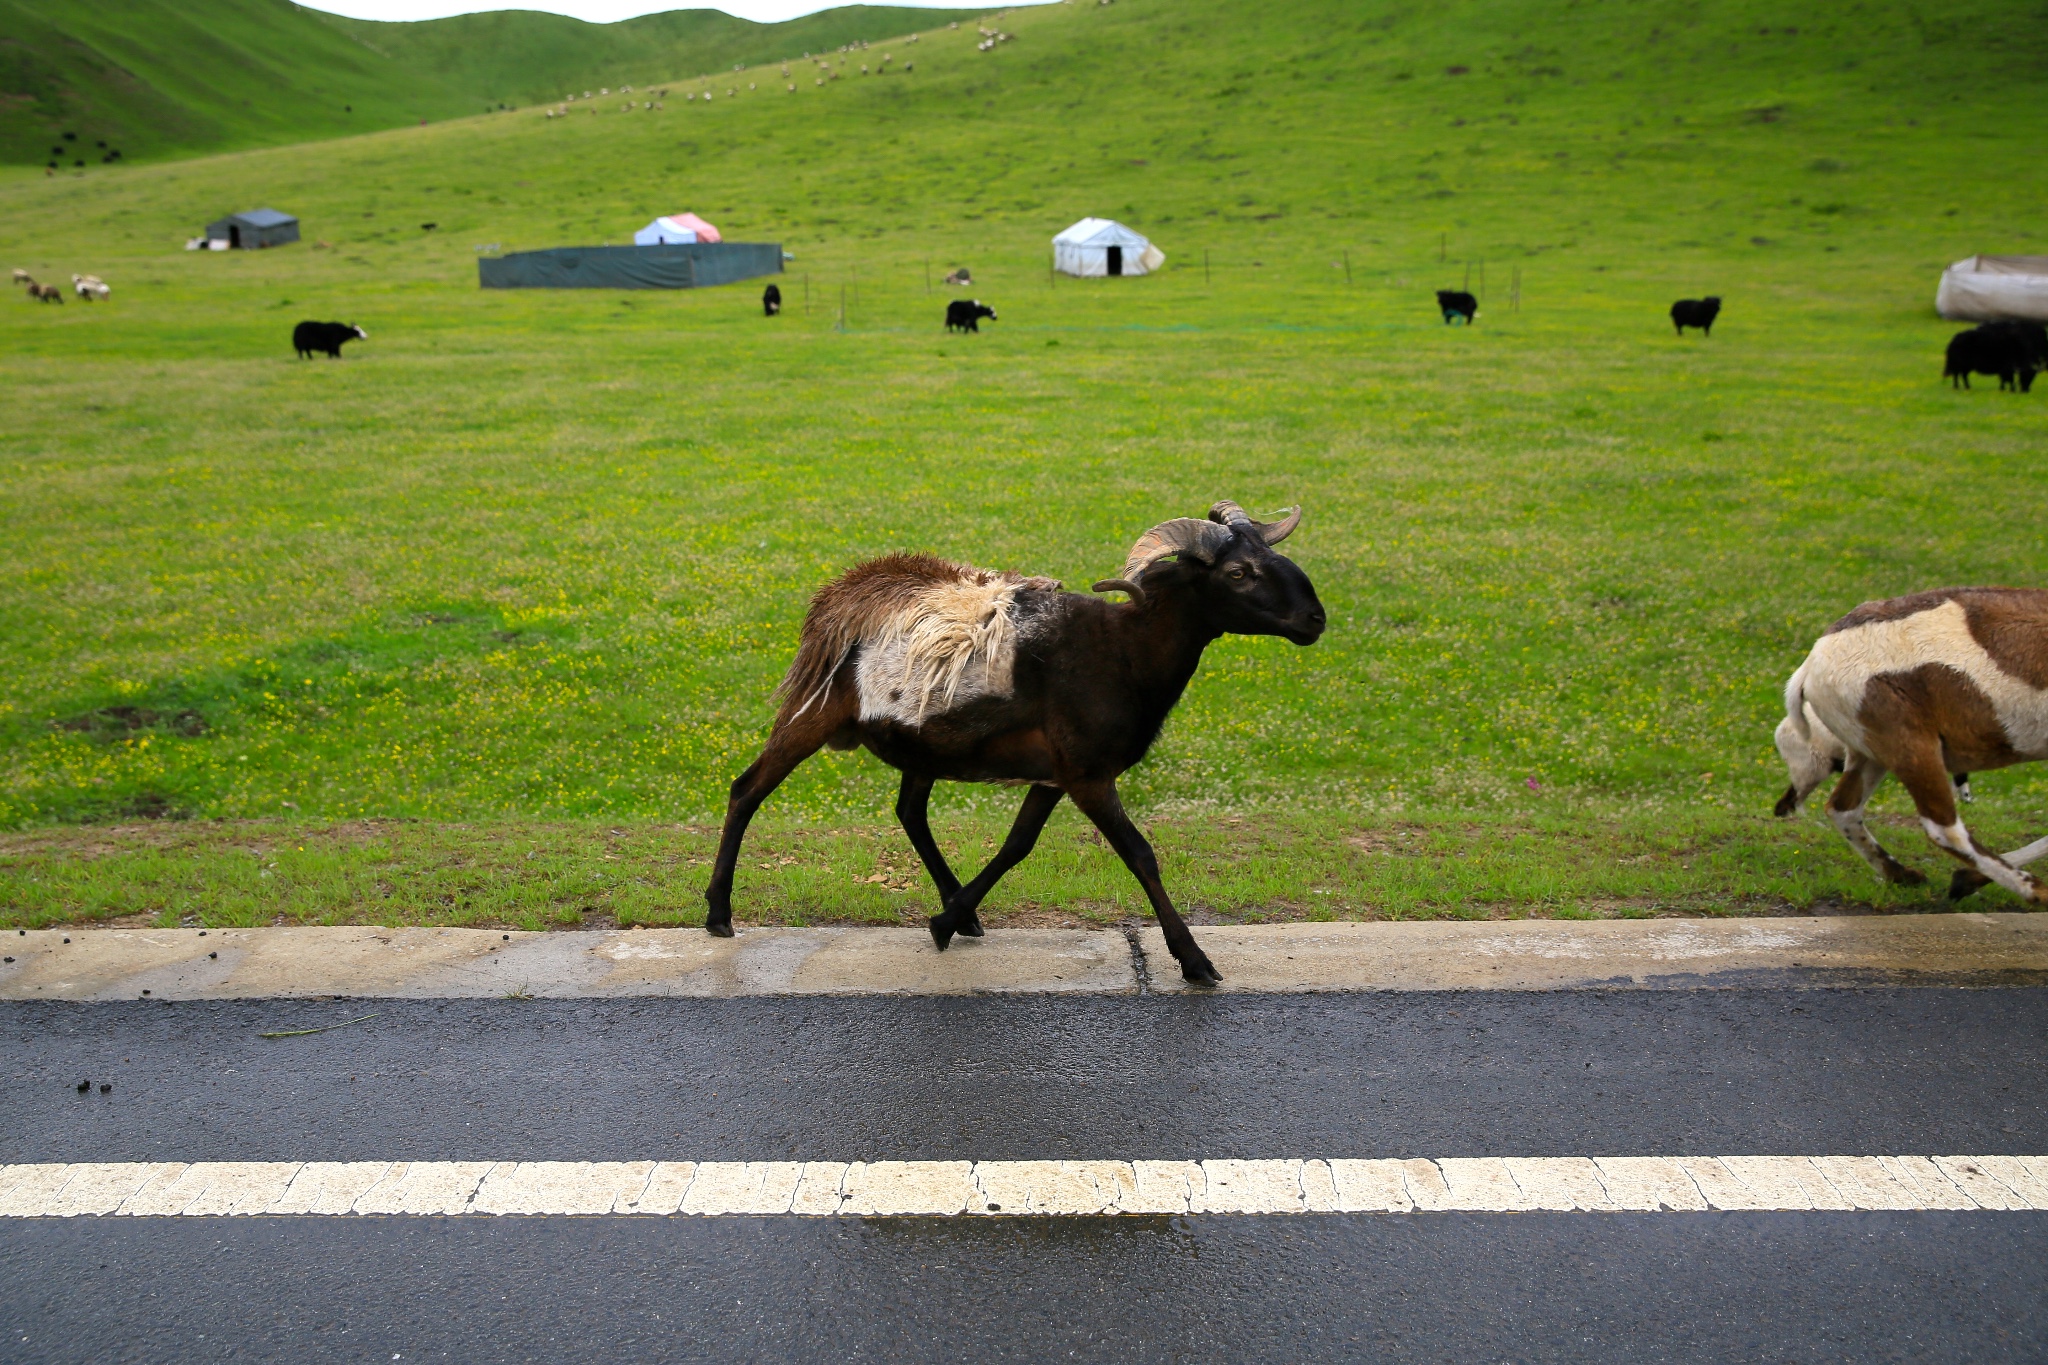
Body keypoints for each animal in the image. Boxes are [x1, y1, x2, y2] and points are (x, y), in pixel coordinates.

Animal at [704, 501, 1327, 982]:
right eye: (1240, 572)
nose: (1315, 620)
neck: (1125, 650)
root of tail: (844, 593)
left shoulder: (1056, 774)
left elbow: (1016, 846)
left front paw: (947, 920)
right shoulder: (1089, 774)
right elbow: (1140, 854)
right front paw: (1196, 962)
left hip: (924, 744)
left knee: (910, 813)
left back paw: (961, 914)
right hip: (810, 716)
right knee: (746, 791)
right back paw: (717, 914)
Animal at [1777, 585, 2048, 896]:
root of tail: (1809, 667)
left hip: (1870, 755)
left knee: (1843, 809)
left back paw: (1905, 875)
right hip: (1914, 751)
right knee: (1943, 828)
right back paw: (2030, 891)